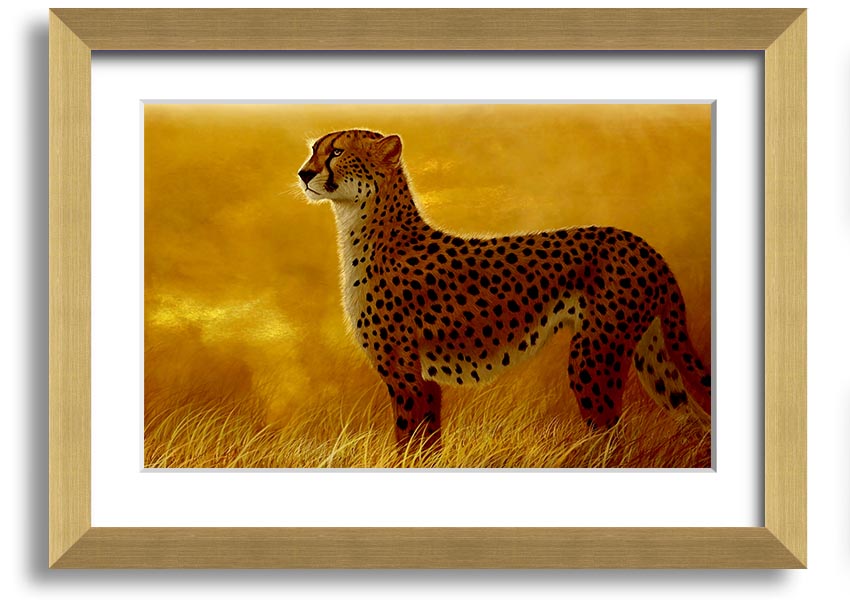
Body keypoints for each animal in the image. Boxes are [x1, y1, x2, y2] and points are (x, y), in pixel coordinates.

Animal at [298, 129, 711, 448]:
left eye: (337, 152)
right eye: (314, 150)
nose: (303, 173)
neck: (363, 224)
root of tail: (639, 242)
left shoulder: (407, 377)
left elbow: (409, 445)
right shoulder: (424, 381)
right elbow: (425, 446)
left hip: (594, 357)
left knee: (611, 436)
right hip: (649, 353)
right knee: (694, 418)